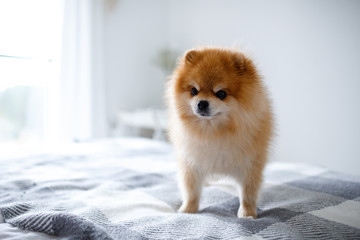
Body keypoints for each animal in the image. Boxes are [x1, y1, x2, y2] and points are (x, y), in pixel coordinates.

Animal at [166, 47, 272, 219]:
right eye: (194, 91)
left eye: (221, 94)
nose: (202, 103)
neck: (214, 132)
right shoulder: (191, 165)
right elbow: (191, 191)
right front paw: (188, 210)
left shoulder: (250, 166)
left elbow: (248, 193)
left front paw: (247, 214)